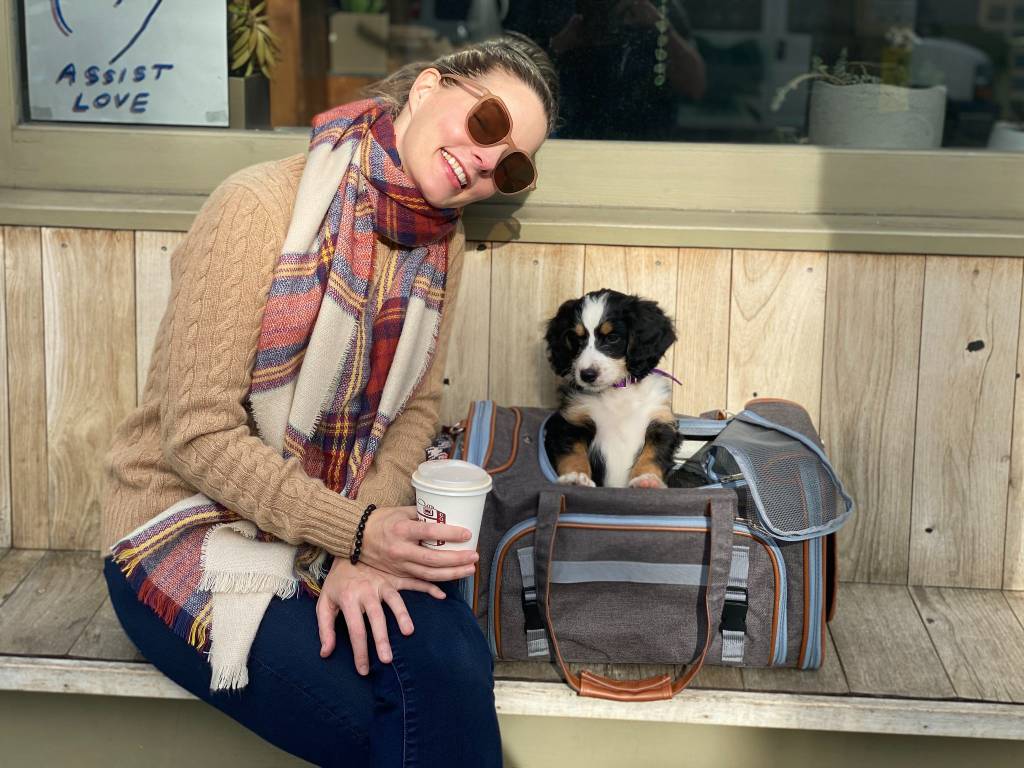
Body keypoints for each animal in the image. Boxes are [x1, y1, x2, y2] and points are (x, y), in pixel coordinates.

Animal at [543, 289, 683, 489]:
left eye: (612, 338)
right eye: (576, 340)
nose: (587, 375)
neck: (617, 390)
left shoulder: (661, 423)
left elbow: (653, 455)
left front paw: (647, 480)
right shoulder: (570, 421)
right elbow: (573, 454)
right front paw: (575, 477)